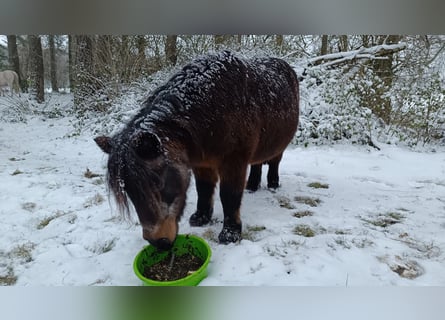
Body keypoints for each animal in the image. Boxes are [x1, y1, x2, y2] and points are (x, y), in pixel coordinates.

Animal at [96, 50, 298, 250]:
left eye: (157, 183)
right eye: (128, 190)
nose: (157, 242)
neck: (214, 110)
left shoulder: (234, 162)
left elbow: (229, 195)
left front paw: (230, 233)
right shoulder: (202, 163)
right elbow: (204, 189)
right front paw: (201, 217)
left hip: (279, 145)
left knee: (274, 161)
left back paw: (273, 184)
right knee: (257, 163)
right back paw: (252, 186)